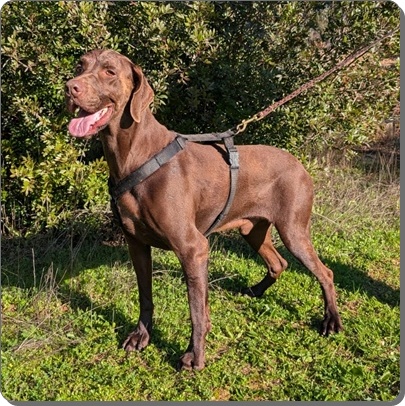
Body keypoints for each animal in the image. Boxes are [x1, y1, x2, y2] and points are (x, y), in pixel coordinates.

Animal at [65, 49, 342, 370]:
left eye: (109, 71)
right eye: (80, 65)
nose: (70, 87)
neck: (134, 155)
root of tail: (300, 164)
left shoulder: (193, 248)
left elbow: (196, 311)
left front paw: (195, 355)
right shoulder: (136, 243)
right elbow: (146, 295)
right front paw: (141, 336)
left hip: (294, 230)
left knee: (325, 272)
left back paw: (332, 321)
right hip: (253, 229)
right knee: (278, 263)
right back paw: (256, 290)